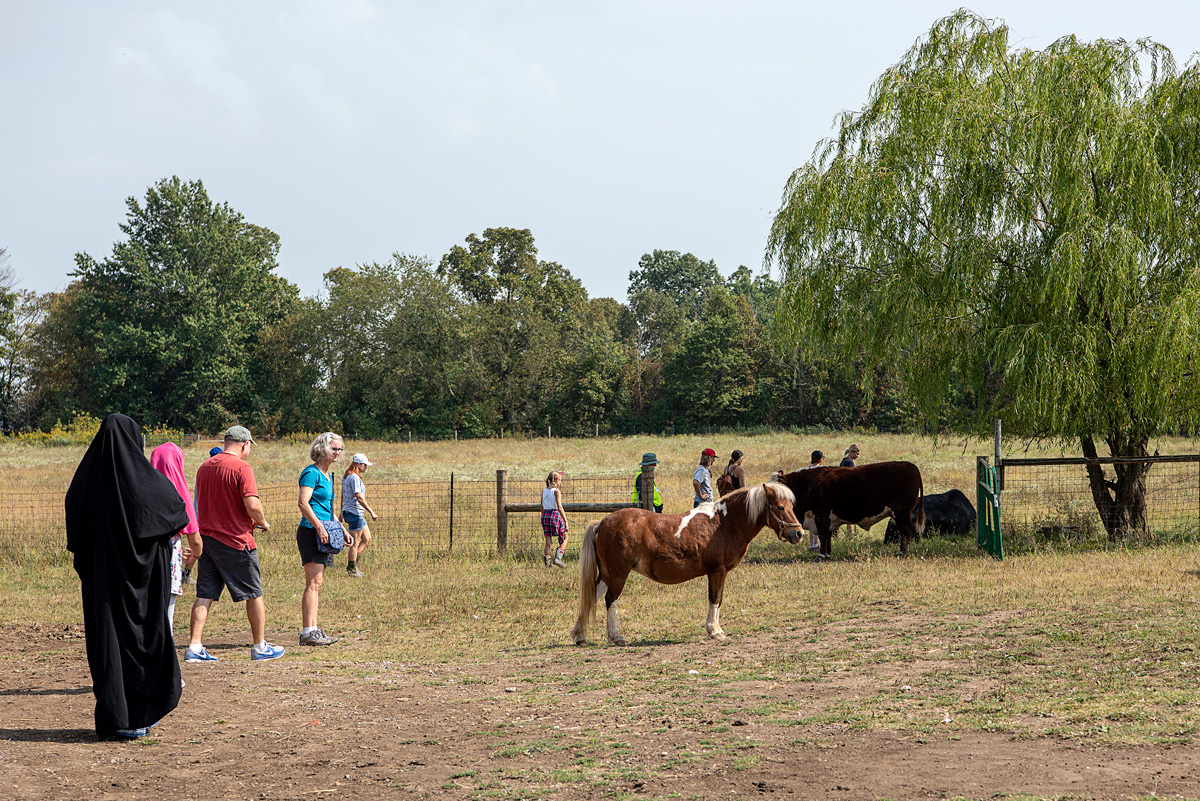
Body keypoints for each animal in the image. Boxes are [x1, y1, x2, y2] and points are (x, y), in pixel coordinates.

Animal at [568, 482, 801, 642]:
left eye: (791, 505)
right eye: (780, 507)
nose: (798, 533)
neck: (725, 523)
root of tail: (602, 522)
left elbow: (718, 600)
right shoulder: (717, 571)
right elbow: (715, 599)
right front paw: (714, 631)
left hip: (607, 574)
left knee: (592, 596)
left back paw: (580, 635)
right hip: (618, 574)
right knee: (610, 600)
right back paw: (615, 636)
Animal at [777, 462, 926, 556]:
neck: (805, 484)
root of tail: (910, 465)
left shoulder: (821, 515)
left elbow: (823, 535)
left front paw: (821, 555)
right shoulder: (827, 519)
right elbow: (828, 535)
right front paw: (827, 554)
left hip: (901, 513)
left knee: (905, 530)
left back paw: (901, 552)